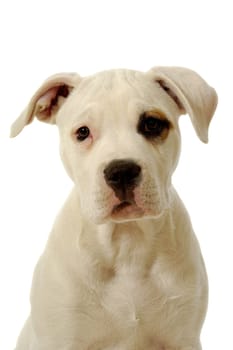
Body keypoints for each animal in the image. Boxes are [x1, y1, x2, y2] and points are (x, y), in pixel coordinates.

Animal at [10, 66, 218, 350]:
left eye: (152, 124)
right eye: (83, 132)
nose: (121, 171)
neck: (126, 242)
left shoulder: (183, 339)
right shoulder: (59, 339)